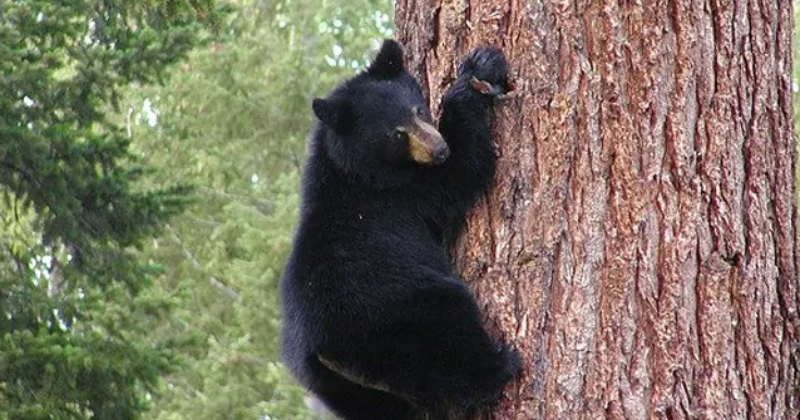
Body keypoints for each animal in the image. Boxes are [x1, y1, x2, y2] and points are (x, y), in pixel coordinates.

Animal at [282, 40, 520, 420]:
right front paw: (477, 73)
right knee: (450, 335)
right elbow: (463, 168)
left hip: (336, 387)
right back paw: (501, 366)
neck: (345, 168)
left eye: (419, 109)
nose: (438, 149)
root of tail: (326, 353)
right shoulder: (402, 192)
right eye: (396, 133)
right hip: (401, 319)